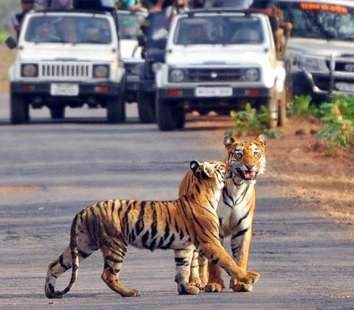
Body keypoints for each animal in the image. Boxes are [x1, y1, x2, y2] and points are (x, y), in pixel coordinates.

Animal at [45, 160, 260, 298]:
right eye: (221, 166)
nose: (232, 167)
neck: (208, 193)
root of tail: (84, 210)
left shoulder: (184, 247)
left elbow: (182, 269)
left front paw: (186, 289)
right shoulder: (209, 241)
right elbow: (228, 260)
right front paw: (248, 277)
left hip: (83, 245)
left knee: (55, 264)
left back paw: (50, 292)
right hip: (115, 245)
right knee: (108, 274)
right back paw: (129, 293)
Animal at [178, 133, 266, 294]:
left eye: (256, 153)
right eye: (239, 154)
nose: (250, 165)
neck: (238, 185)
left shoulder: (242, 228)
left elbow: (240, 257)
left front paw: (240, 283)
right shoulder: (214, 228)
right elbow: (215, 261)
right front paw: (215, 284)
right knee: (194, 258)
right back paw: (195, 282)